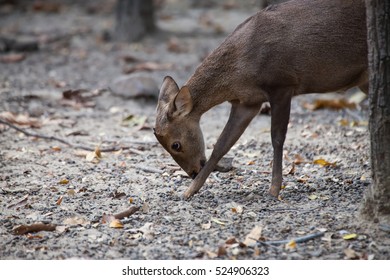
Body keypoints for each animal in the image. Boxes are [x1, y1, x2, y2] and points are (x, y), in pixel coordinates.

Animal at [154, 0, 368, 201]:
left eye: (175, 145)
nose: (192, 172)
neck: (241, 71)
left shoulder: (282, 84)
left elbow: (277, 138)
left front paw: (274, 189)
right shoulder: (247, 102)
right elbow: (222, 144)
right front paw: (189, 191)